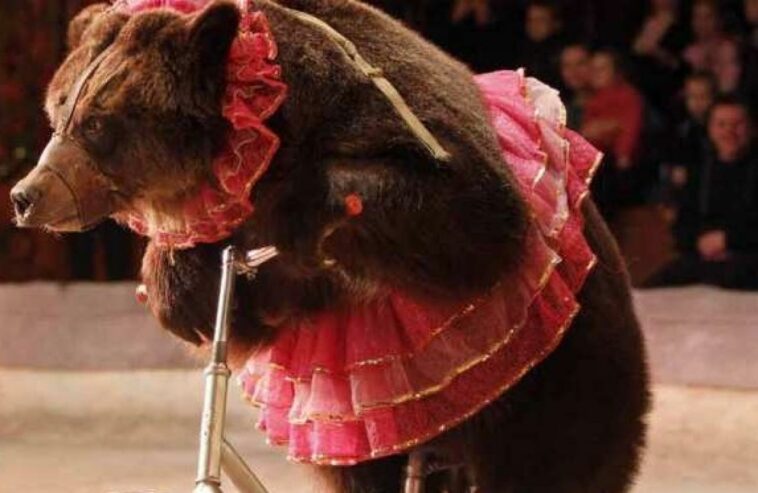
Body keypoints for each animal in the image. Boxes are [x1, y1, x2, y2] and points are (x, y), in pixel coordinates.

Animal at [8, 0, 652, 492]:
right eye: (58, 109)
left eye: (96, 123)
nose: (25, 194)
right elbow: (231, 305)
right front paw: (178, 285)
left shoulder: (385, 112)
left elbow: (470, 216)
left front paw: (298, 217)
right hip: (372, 419)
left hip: (560, 364)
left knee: (560, 454)